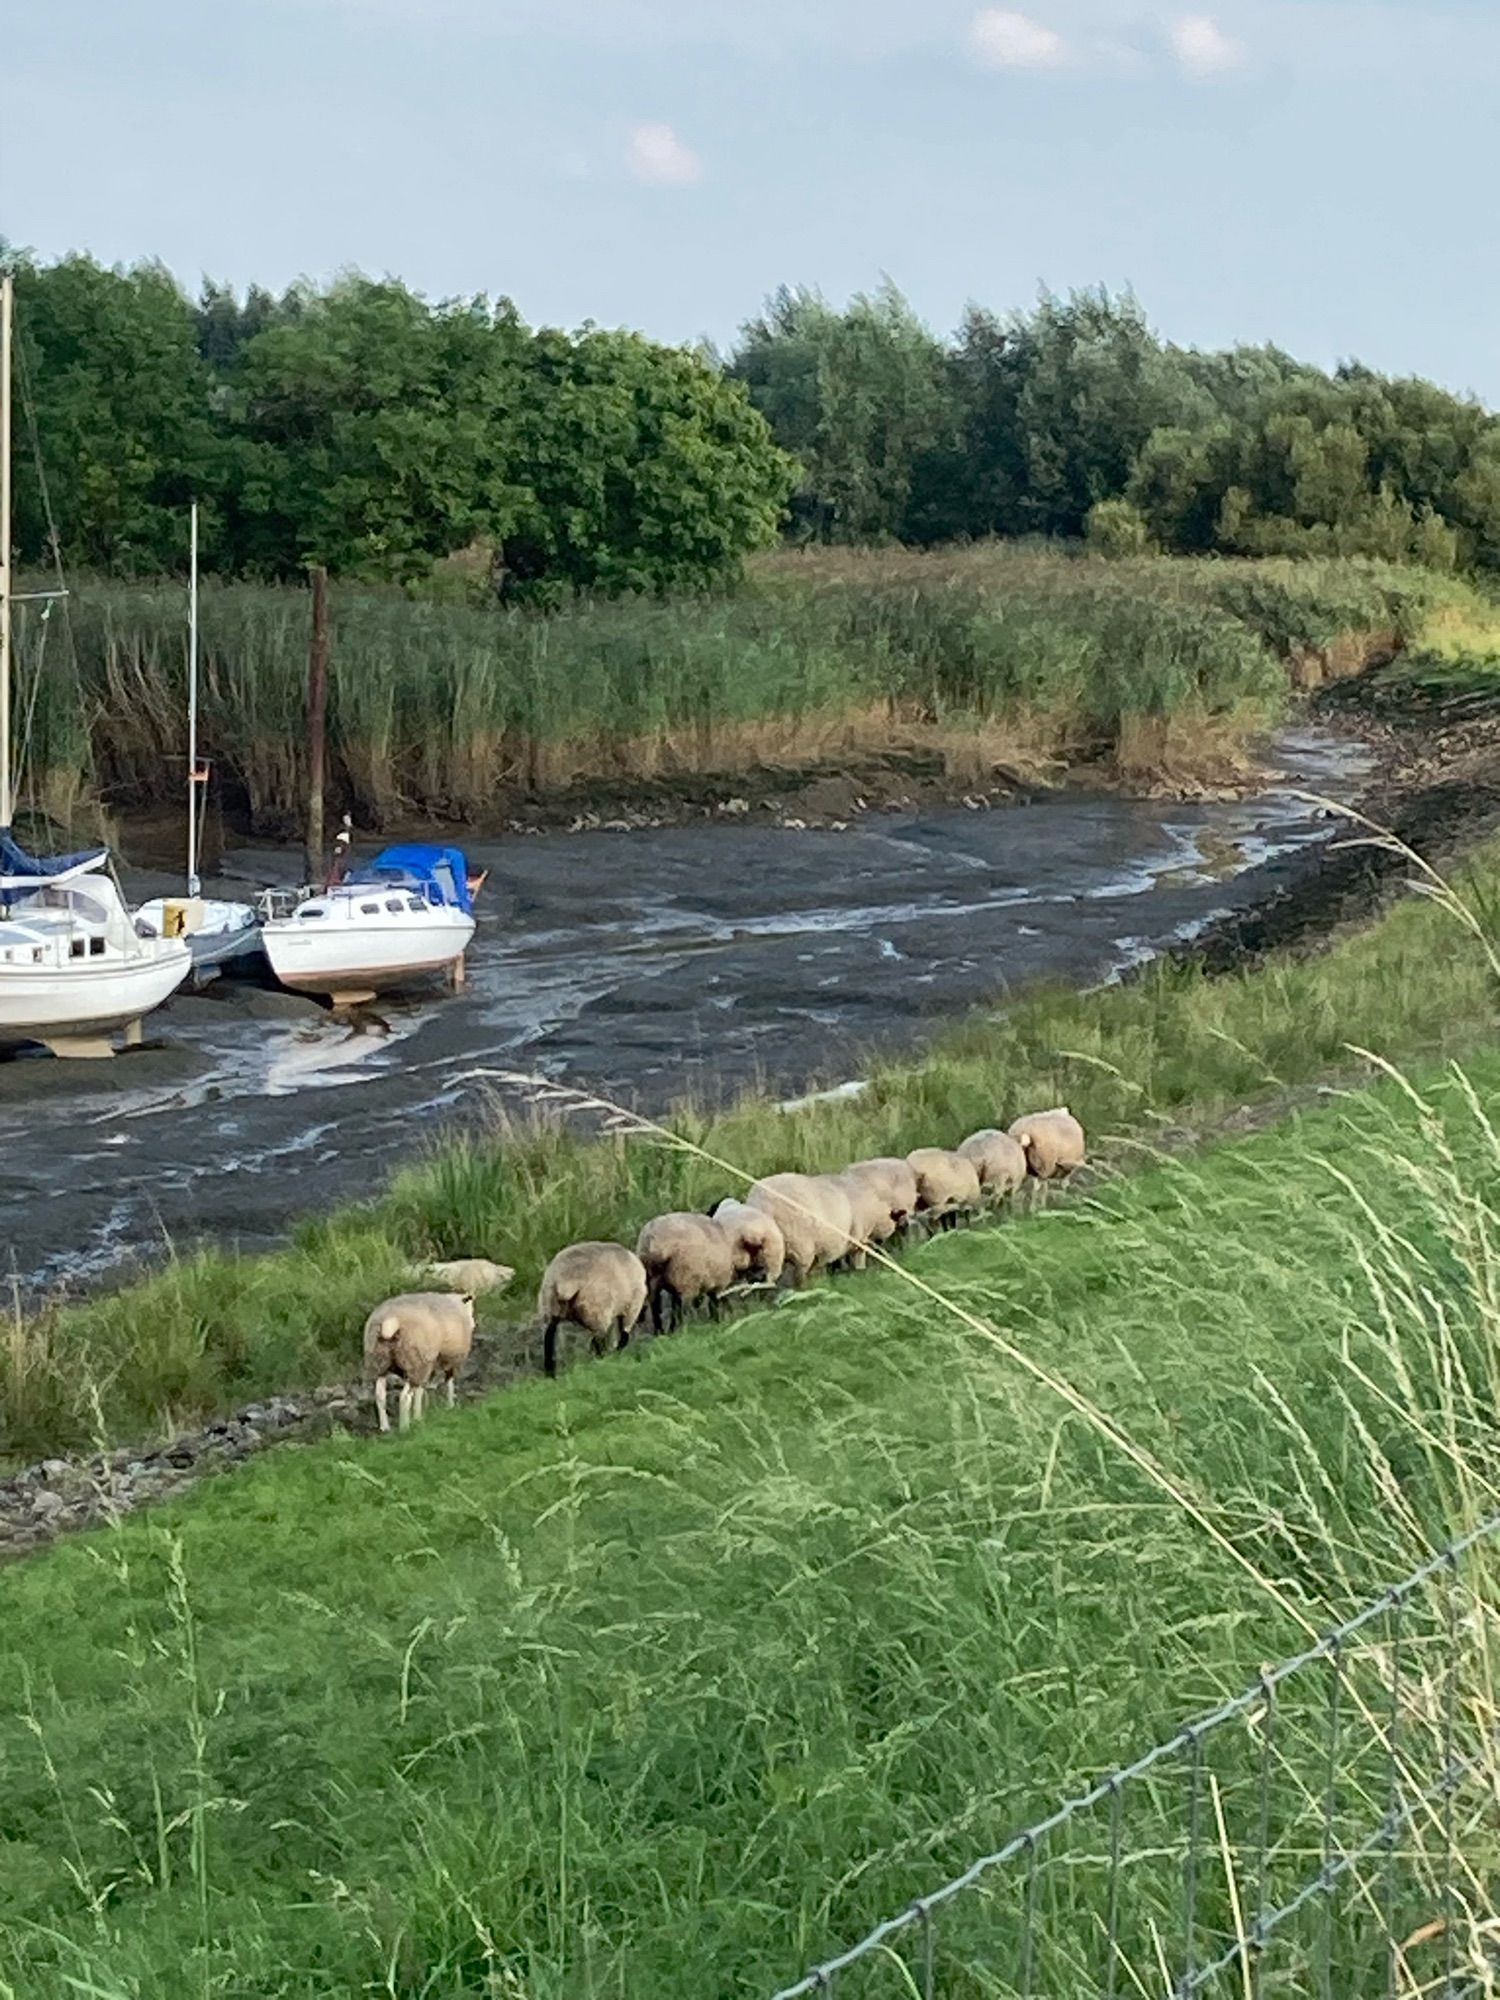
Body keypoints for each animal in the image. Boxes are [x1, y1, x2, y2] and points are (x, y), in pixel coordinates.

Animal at [364, 1296, 476, 1440]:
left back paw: (385, 1427)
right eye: (471, 1308)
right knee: (404, 1397)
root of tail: (390, 1322)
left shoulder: (427, 1364)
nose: (474, 1324)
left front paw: (417, 1416)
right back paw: (404, 1428)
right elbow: (449, 1383)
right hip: (415, 1362)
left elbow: (420, 1390)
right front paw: (450, 1406)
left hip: (379, 1362)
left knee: (379, 1395)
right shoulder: (450, 1359)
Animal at [544, 1232, 656, 1376]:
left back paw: (551, 1374)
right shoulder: (632, 1307)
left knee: (548, 1340)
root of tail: (564, 1281)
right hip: (596, 1311)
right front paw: (617, 1355)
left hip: (551, 1309)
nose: (642, 1318)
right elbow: (624, 1336)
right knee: (598, 1340)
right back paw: (603, 1361)